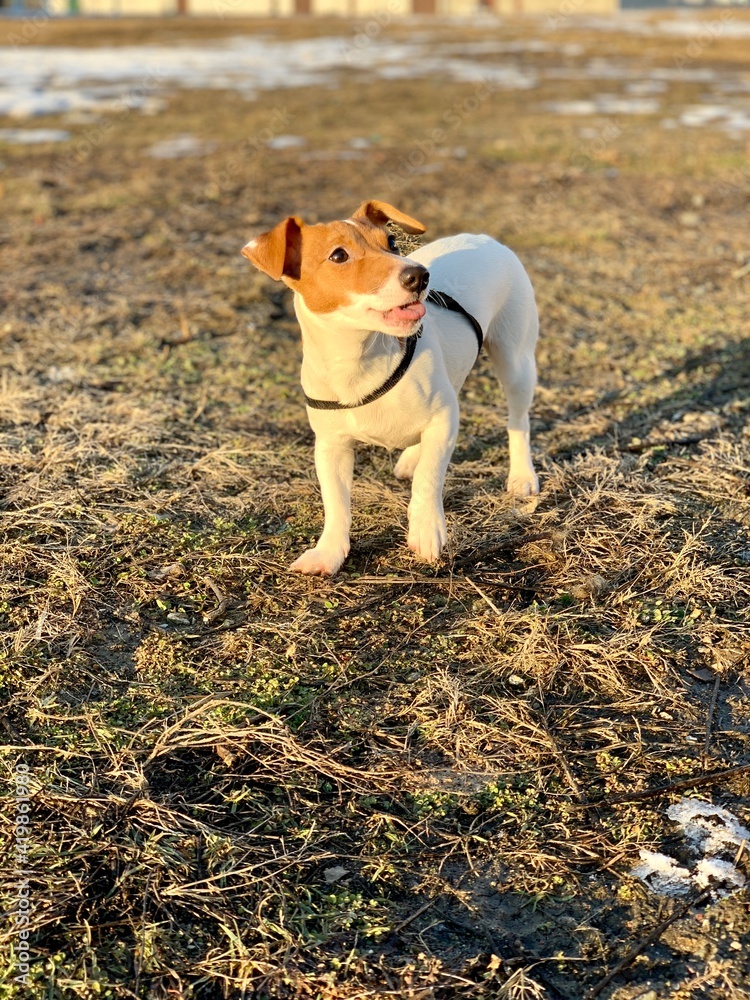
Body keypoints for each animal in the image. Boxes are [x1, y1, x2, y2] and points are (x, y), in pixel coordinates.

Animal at [244, 201, 544, 580]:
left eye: (391, 242)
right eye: (338, 255)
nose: (419, 276)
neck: (359, 361)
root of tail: (482, 237)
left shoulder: (444, 418)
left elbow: (430, 477)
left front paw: (426, 530)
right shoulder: (331, 445)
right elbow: (336, 502)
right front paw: (328, 553)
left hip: (515, 359)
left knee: (518, 421)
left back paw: (521, 475)